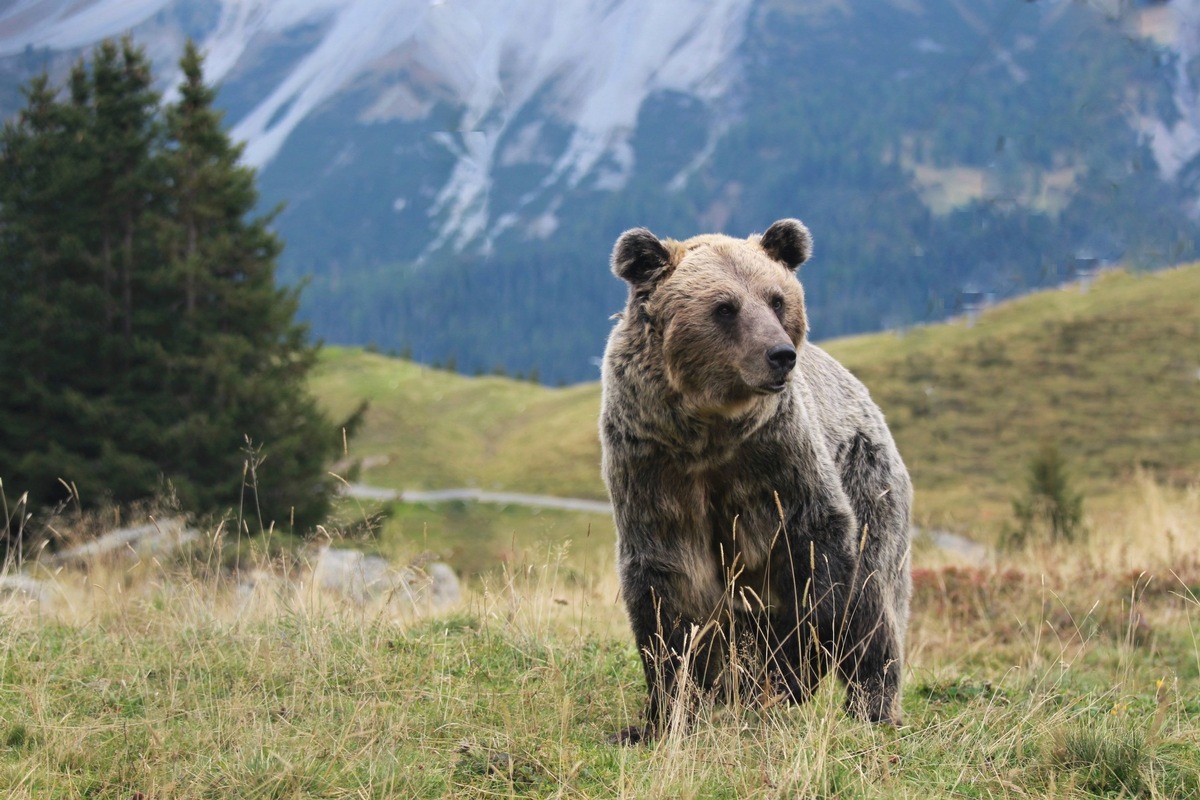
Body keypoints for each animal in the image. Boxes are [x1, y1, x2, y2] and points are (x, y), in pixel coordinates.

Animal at [600, 219, 907, 743]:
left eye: (777, 299)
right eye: (725, 307)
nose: (779, 354)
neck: (710, 430)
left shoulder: (778, 456)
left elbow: (817, 553)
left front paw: (791, 674)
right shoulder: (654, 465)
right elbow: (669, 583)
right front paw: (662, 714)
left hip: (868, 477)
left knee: (871, 602)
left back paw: (871, 708)